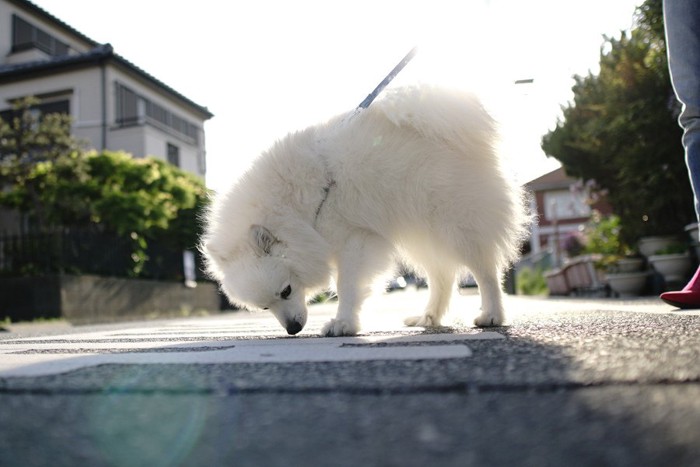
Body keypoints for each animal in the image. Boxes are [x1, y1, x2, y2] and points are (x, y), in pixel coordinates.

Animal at [202, 85, 532, 336]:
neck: (297, 208)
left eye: (286, 291)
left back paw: (491, 315)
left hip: (456, 225)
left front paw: (343, 323)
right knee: (443, 276)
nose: (293, 329)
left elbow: (347, 286)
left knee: (485, 272)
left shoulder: (353, 238)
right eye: (264, 307)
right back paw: (428, 318)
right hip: (422, 234)